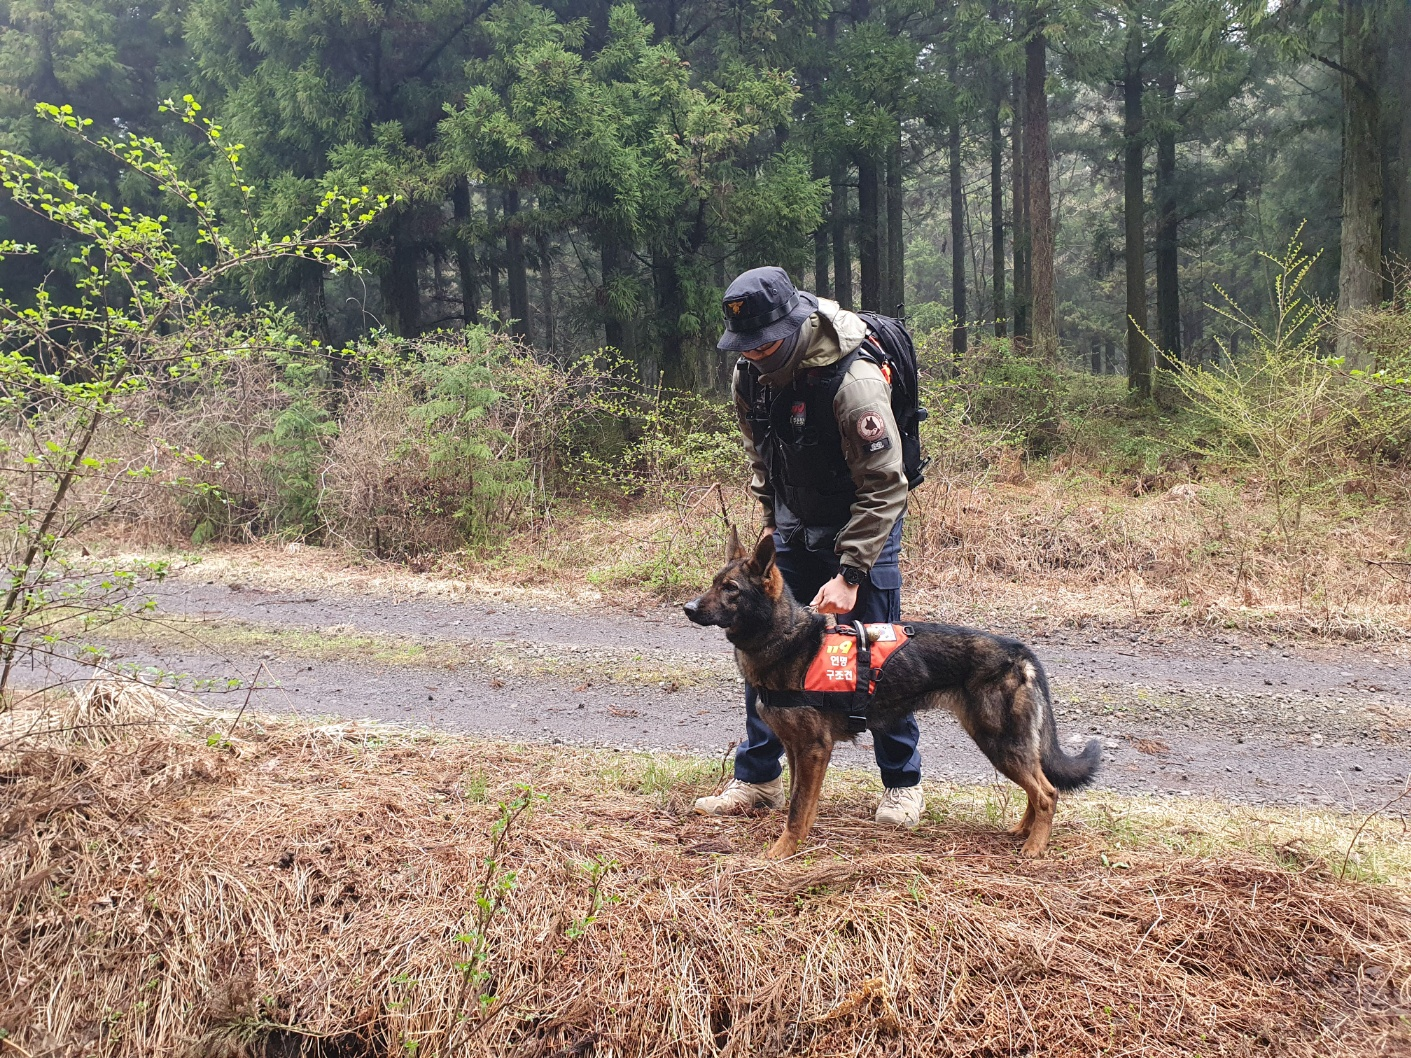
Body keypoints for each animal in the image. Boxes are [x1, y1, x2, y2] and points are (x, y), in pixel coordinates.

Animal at [682, 530, 1100, 863]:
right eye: (713, 583)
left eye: (731, 589)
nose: (687, 608)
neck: (787, 640)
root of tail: (1019, 651)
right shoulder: (800, 750)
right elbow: (805, 803)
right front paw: (799, 843)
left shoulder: (814, 749)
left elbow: (797, 808)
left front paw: (782, 851)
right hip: (1006, 746)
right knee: (1038, 787)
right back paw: (1022, 830)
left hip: (999, 743)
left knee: (1047, 793)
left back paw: (1035, 846)